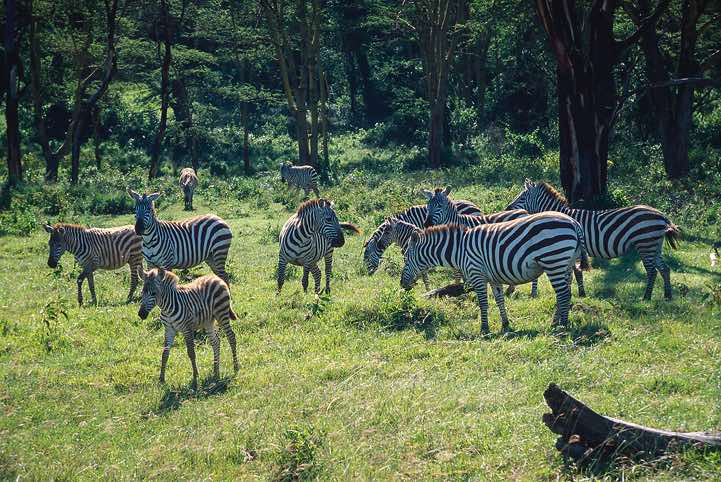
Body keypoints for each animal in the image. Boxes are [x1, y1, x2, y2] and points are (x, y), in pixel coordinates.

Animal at [398, 212, 590, 333]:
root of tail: (574, 223)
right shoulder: (493, 278)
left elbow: (483, 303)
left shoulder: (477, 275)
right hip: (565, 263)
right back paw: (556, 322)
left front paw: (484, 329)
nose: (402, 284)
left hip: (553, 259)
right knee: (565, 293)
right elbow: (499, 300)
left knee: (563, 294)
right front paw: (505, 324)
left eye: (406, 258)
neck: (459, 249)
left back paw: (562, 325)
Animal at [505, 180, 681, 300]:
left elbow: (576, 273)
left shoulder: (574, 250)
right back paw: (667, 295)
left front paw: (579, 293)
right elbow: (575, 273)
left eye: (521, 197)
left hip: (645, 243)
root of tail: (661, 215)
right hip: (655, 245)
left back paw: (646, 297)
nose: (507, 208)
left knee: (652, 271)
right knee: (665, 269)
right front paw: (580, 293)